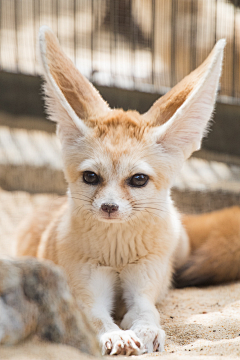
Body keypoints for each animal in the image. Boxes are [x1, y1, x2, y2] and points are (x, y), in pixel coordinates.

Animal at [15, 26, 240, 356]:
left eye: (138, 180)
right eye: (91, 177)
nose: (109, 207)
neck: (117, 255)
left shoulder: (145, 283)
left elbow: (146, 312)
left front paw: (146, 331)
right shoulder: (85, 290)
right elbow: (97, 319)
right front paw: (115, 336)